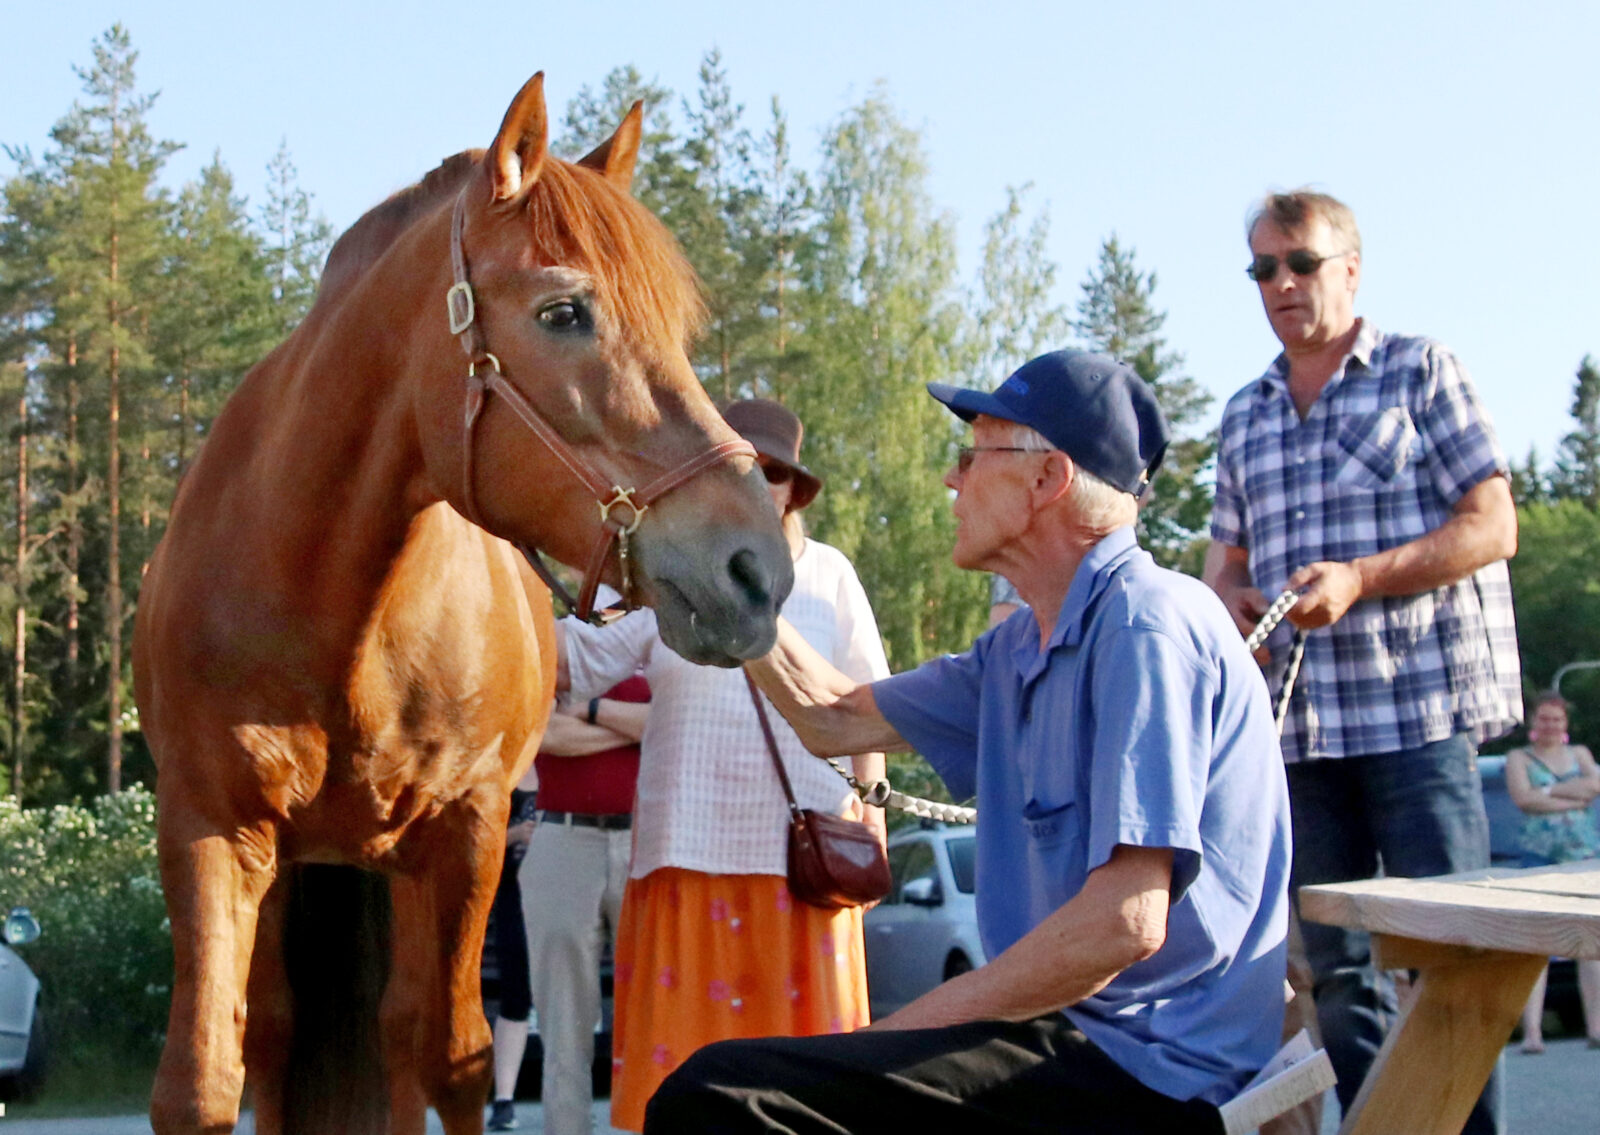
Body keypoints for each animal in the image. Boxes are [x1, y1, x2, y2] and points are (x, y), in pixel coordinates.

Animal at [136, 73, 793, 1133]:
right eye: (565, 312)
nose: (755, 566)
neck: (332, 608)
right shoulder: (209, 827)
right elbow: (204, 1080)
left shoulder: (468, 833)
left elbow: (455, 1060)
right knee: (275, 1033)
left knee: (403, 1038)